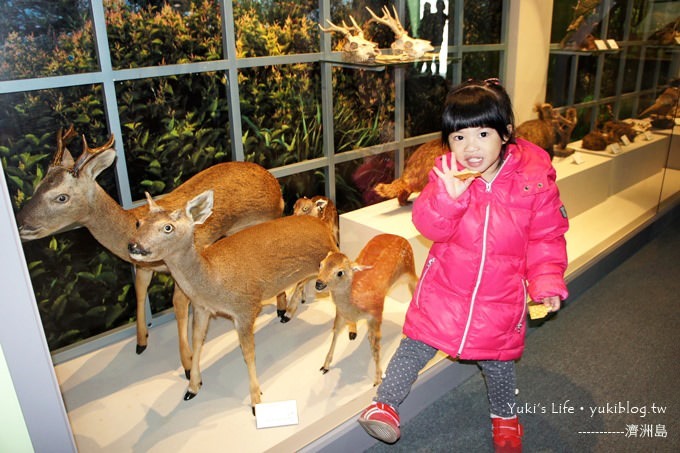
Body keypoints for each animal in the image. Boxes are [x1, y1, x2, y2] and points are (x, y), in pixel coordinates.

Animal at [15, 125, 282, 372]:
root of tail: (275, 187)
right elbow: (140, 292)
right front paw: (141, 342)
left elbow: (178, 306)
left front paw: (187, 363)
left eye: (61, 197)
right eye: (38, 186)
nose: (21, 223)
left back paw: (280, 310)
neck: (133, 222)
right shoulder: (143, 267)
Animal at [127, 189, 338, 408]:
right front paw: (192, 387)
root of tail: (321, 223)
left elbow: (248, 352)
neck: (212, 276)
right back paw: (289, 311)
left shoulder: (246, 308)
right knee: (304, 281)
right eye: (139, 222)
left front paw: (255, 400)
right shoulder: (201, 308)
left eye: (168, 227)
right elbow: (197, 341)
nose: (133, 246)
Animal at [312, 233, 414, 384]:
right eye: (320, 264)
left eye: (340, 272)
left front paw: (377, 379)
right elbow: (335, 332)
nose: (319, 284)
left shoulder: (376, 313)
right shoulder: (340, 313)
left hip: (409, 267)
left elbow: (376, 344)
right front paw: (325, 366)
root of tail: (399, 236)